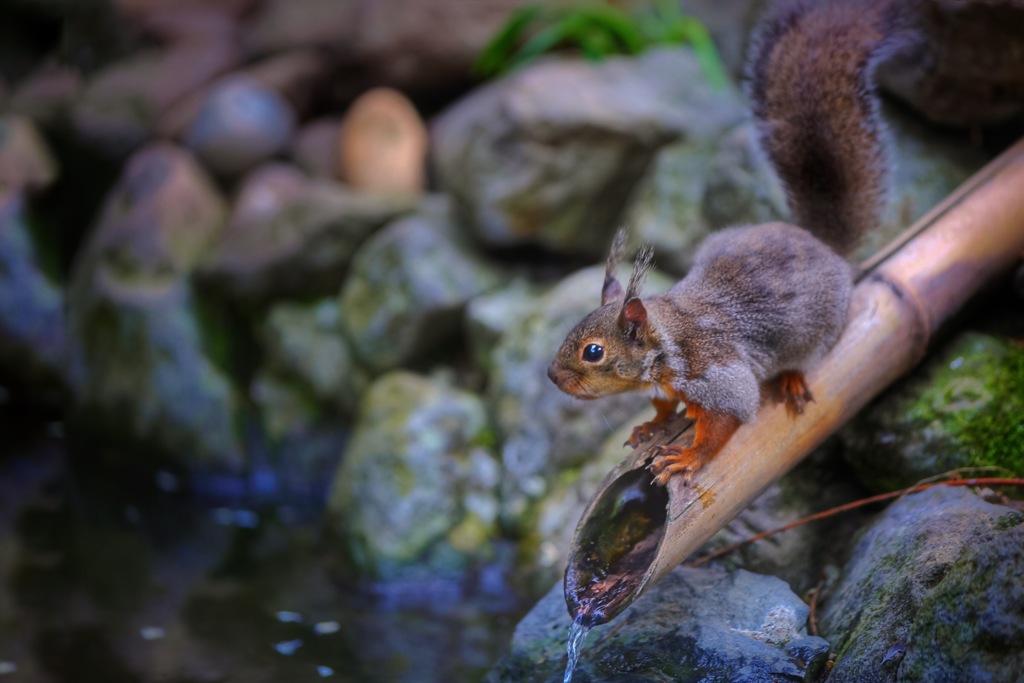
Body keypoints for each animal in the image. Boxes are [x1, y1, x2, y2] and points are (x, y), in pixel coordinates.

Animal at [557, 0, 1024, 483]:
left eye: (593, 352)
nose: (554, 377)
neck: (665, 343)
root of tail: (817, 242)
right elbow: (663, 407)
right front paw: (651, 425)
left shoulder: (718, 374)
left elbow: (726, 421)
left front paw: (688, 458)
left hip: (820, 327)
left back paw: (793, 378)